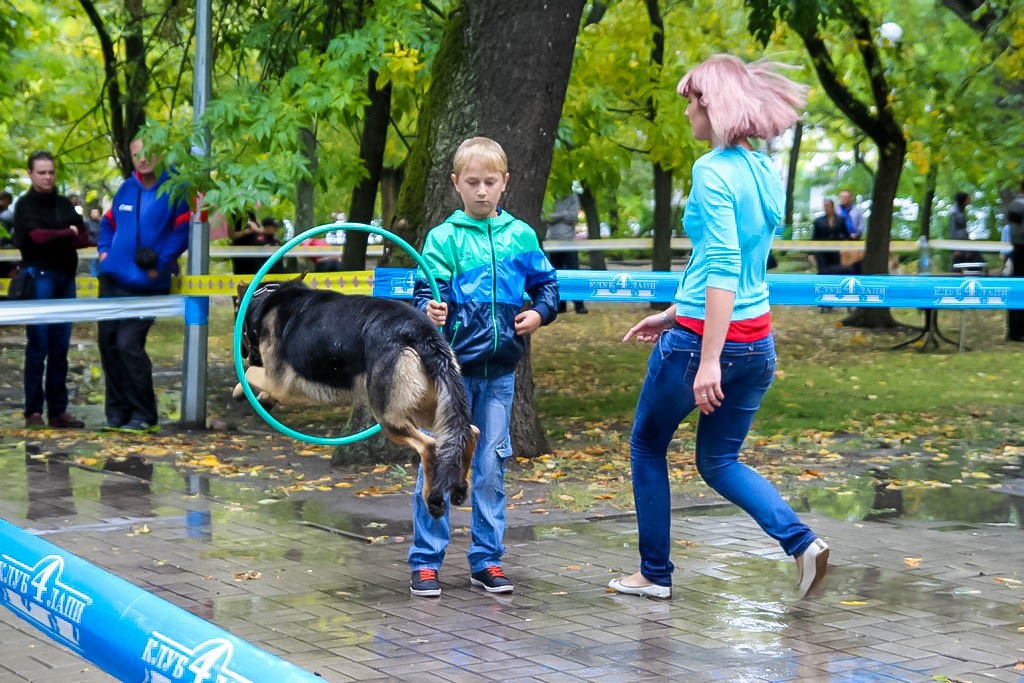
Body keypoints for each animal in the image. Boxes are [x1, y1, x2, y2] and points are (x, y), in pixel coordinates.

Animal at [235, 278, 479, 518]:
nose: (247, 353)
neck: (266, 299)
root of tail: (421, 331)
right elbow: (255, 379)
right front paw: (262, 399)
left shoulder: (278, 381)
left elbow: (248, 373)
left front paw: (240, 391)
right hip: (427, 407)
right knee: (470, 431)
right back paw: (459, 488)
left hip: (389, 417)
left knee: (429, 444)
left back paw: (434, 499)